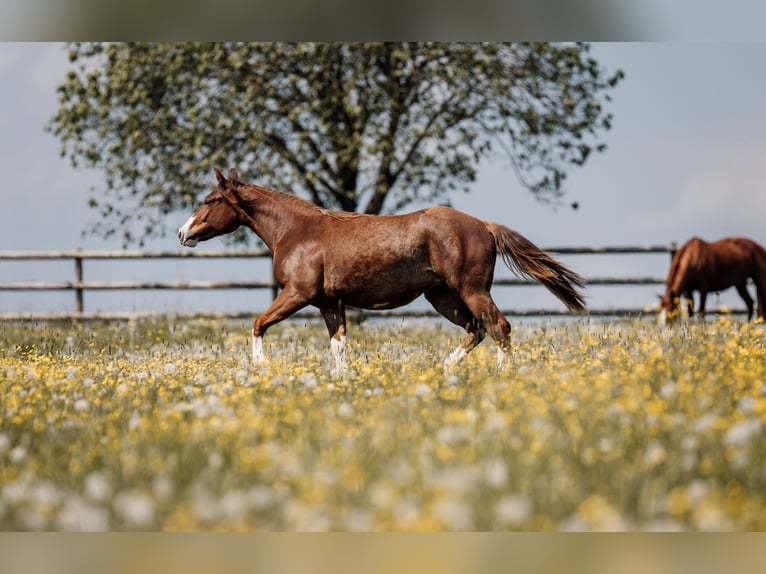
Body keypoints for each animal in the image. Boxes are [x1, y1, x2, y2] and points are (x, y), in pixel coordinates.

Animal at [179, 168, 586, 369]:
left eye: (210, 200)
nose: (183, 233)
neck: (297, 231)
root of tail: (484, 225)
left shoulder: (297, 294)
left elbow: (258, 324)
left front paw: (260, 369)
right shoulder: (329, 303)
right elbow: (339, 347)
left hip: (471, 290)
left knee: (499, 327)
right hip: (442, 296)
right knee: (477, 330)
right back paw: (445, 370)